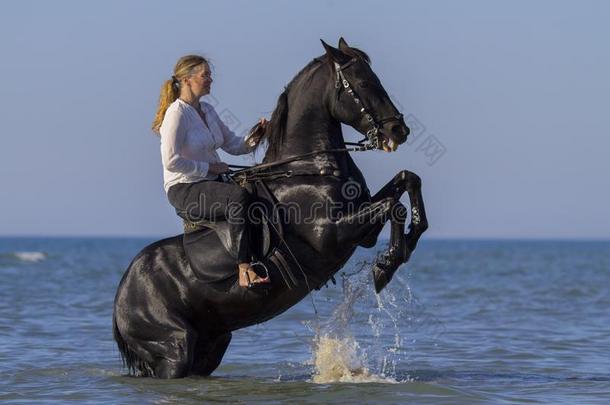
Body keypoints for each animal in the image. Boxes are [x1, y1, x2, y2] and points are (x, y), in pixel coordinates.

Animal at [114, 37, 428, 376]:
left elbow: (408, 180)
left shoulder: (363, 229)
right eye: (364, 83)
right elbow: (392, 206)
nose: (399, 131)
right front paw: (387, 265)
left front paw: (409, 240)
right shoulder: (331, 234)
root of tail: (121, 296)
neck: (308, 168)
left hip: (211, 344)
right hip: (175, 350)